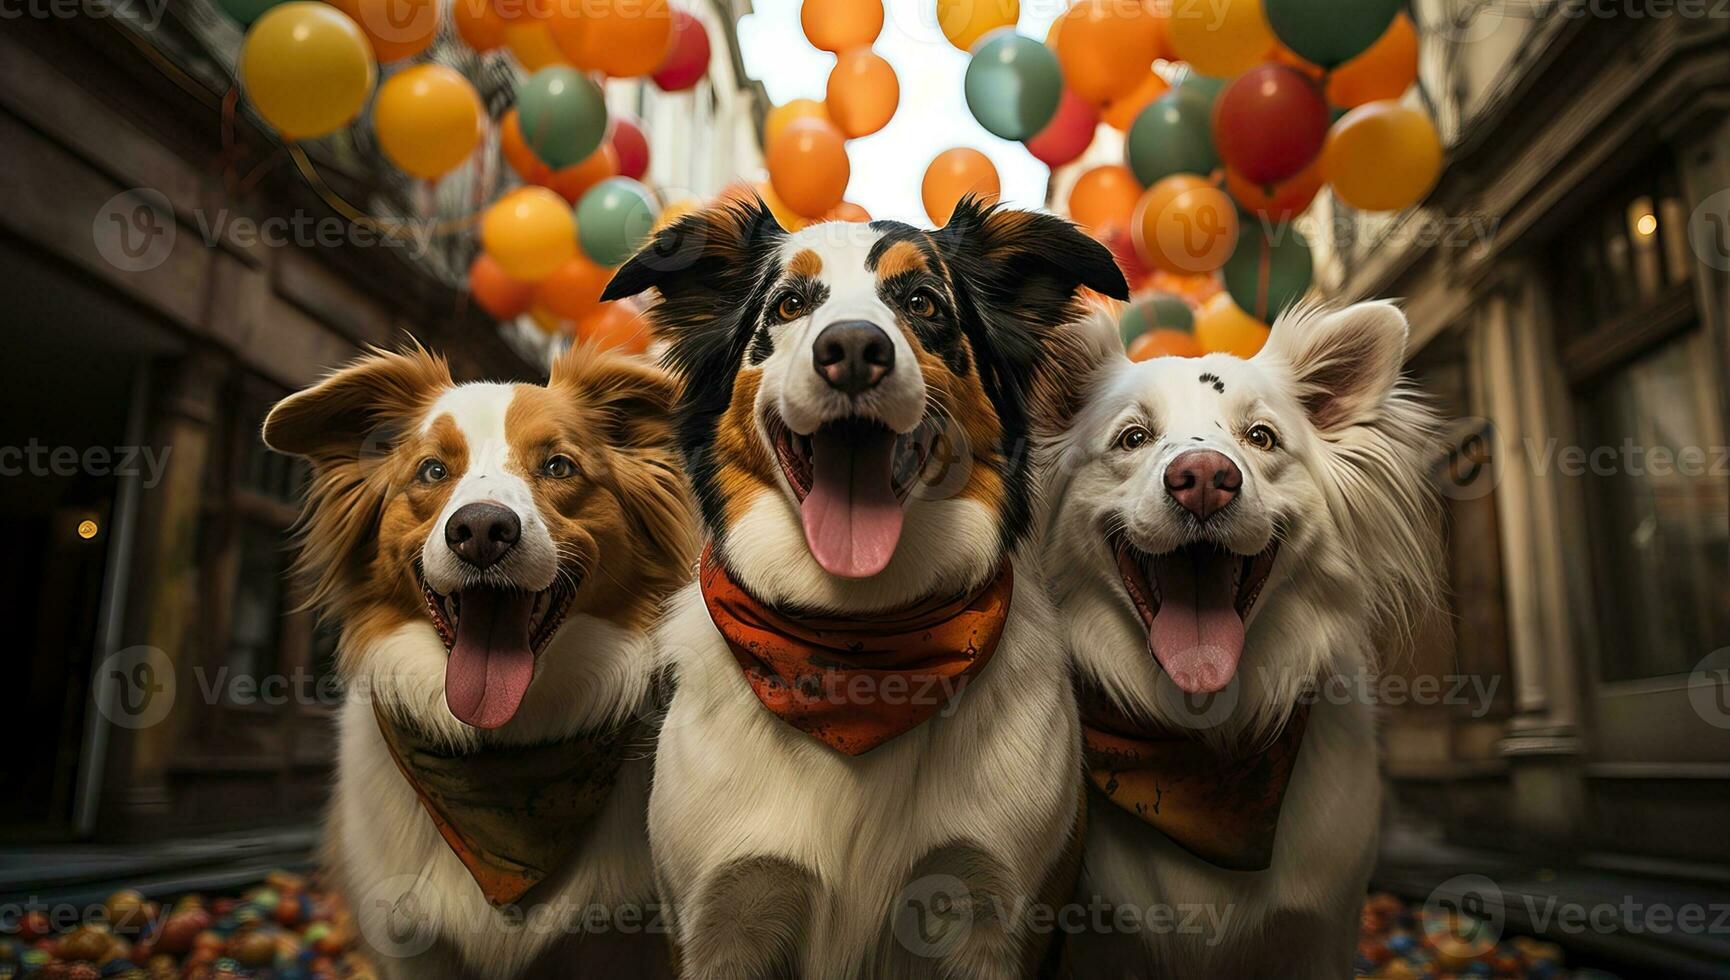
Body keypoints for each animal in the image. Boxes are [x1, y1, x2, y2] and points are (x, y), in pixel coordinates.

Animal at [608, 201, 1134, 980]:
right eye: (788, 304)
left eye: (923, 303)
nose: (853, 349)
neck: (855, 641)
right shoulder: (719, 920)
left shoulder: (995, 917)